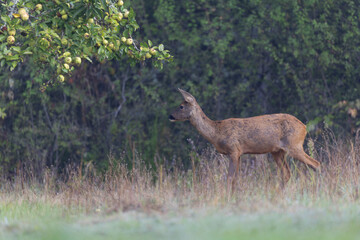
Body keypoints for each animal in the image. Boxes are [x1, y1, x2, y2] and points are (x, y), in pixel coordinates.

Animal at [169, 89, 320, 192]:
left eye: (181, 106)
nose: (170, 116)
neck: (217, 133)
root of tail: (304, 126)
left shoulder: (234, 150)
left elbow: (230, 177)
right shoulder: (239, 153)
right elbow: (236, 178)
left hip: (294, 145)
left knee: (315, 164)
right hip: (277, 151)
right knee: (287, 173)